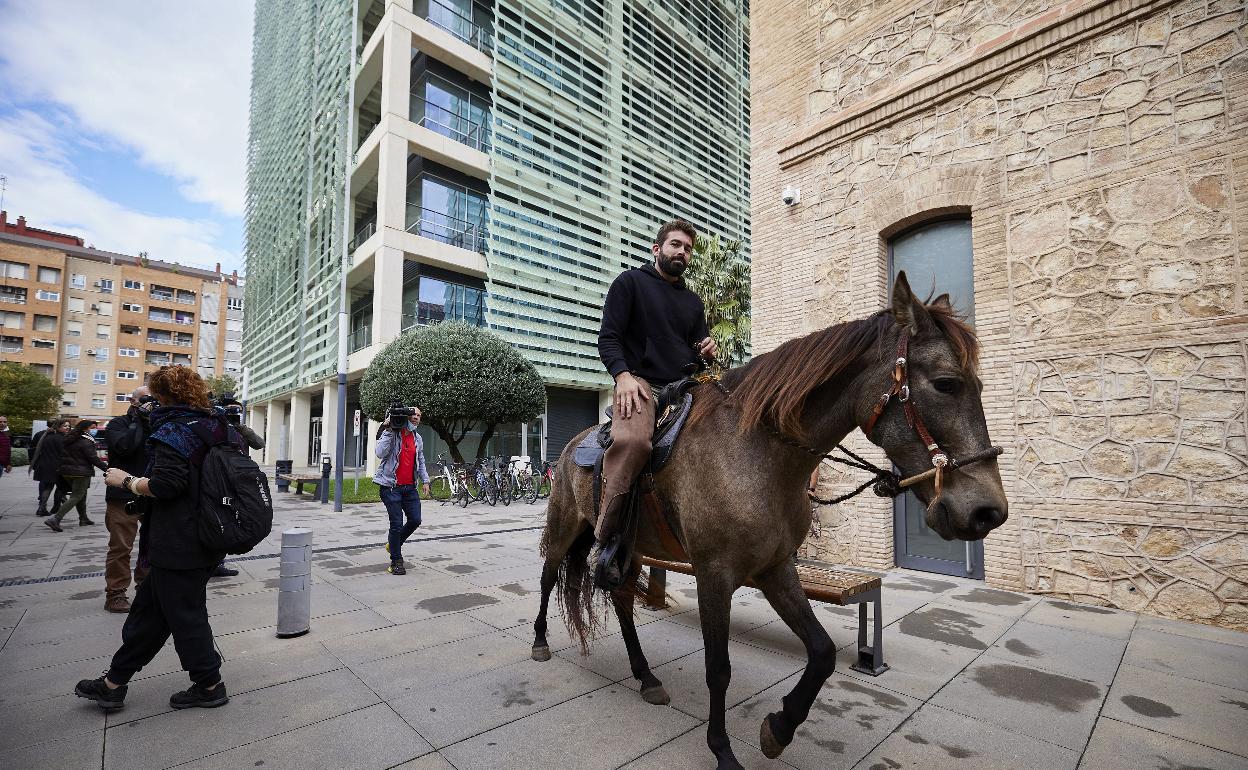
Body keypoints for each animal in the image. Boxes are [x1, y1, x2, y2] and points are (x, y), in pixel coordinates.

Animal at [531, 273, 1008, 763]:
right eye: (947, 384)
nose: (988, 511)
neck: (761, 453)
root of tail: (573, 445)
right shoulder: (715, 574)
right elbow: (718, 668)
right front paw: (722, 749)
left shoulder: (776, 568)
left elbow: (821, 652)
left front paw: (779, 728)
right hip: (567, 527)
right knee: (549, 577)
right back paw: (541, 642)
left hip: (632, 549)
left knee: (624, 603)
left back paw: (646, 677)